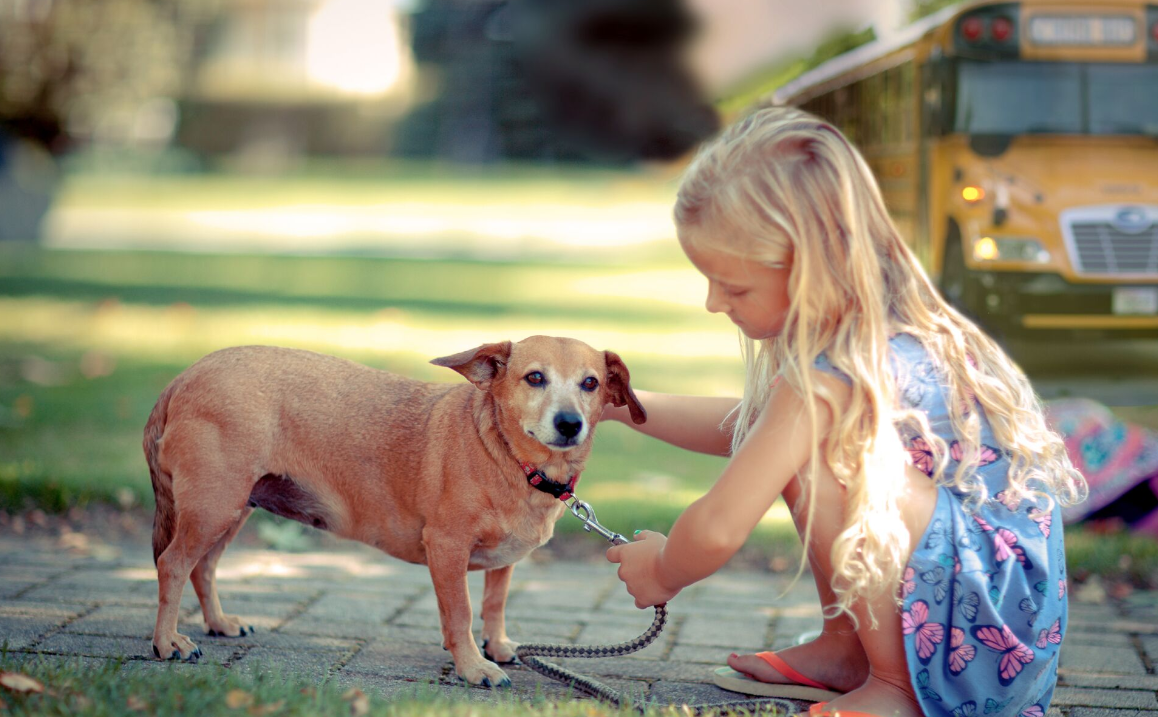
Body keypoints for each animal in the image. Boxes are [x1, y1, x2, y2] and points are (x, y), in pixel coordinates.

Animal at [142, 340, 643, 685]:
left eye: (591, 383)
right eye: (535, 378)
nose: (570, 424)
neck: (508, 456)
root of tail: (182, 379)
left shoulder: (500, 563)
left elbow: (493, 604)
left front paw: (495, 646)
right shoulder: (446, 548)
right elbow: (461, 613)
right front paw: (472, 666)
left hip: (229, 510)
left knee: (203, 567)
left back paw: (217, 623)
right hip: (214, 507)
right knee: (173, 564)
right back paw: (168, 643)